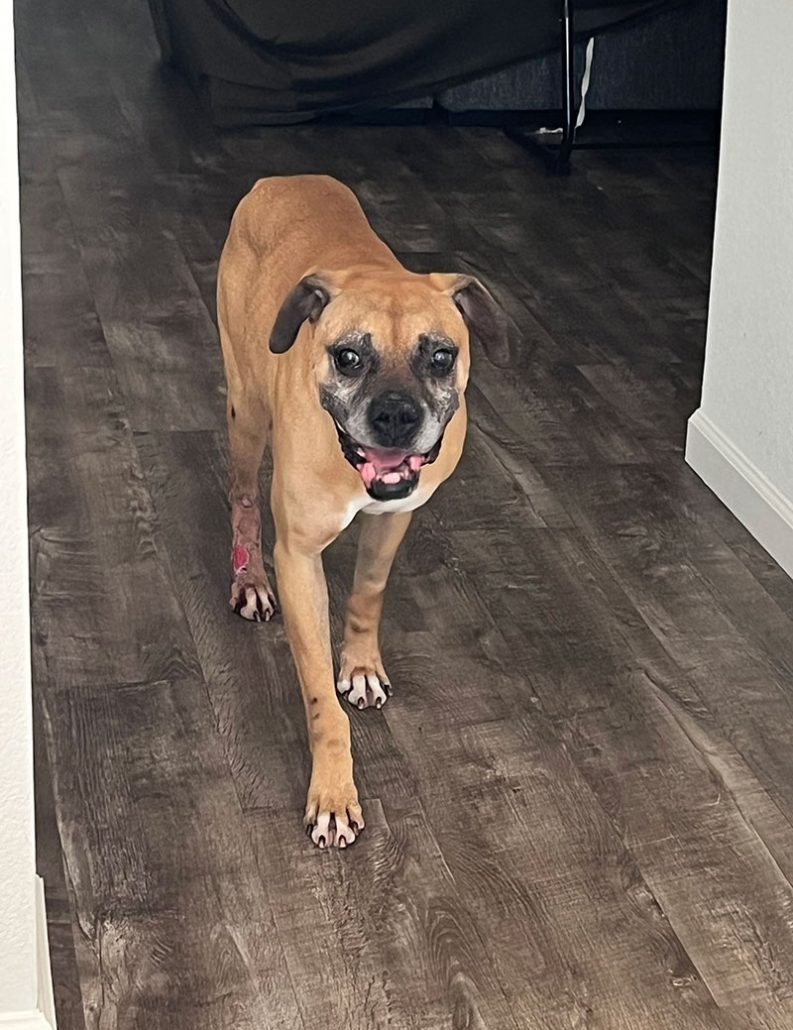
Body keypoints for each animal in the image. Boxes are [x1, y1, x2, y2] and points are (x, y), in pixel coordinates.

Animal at [217, 175, 506, 848]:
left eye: (441, 356)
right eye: (348, 357)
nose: (396, 415)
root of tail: (276, 180)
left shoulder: (392, 519)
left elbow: (368, 595)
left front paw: (362, 666)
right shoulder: (298, 558)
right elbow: (320, 700)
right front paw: (332, 791)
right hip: (246, 412)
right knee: (242, 499)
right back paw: (249, 580)